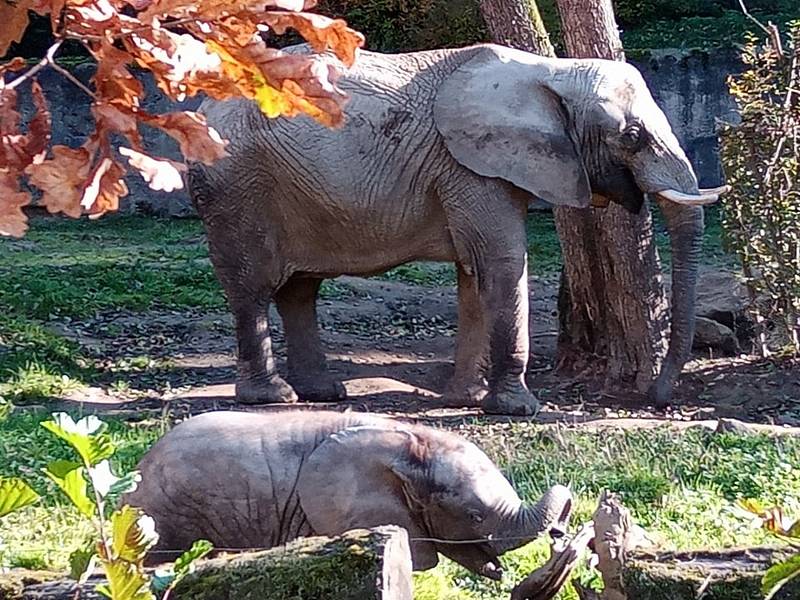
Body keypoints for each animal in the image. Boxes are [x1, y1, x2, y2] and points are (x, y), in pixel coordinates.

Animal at [188, 43, 724, 418]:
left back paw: (323, 393)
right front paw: (517, 408)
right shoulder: (469, 166)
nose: (656, 399)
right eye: (631, 137)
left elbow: (475, 274)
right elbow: (503, 263)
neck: (551, 72)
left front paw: (466, 399)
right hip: (238, 186)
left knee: (300, 290)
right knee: (252, 286)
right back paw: (271, 397)